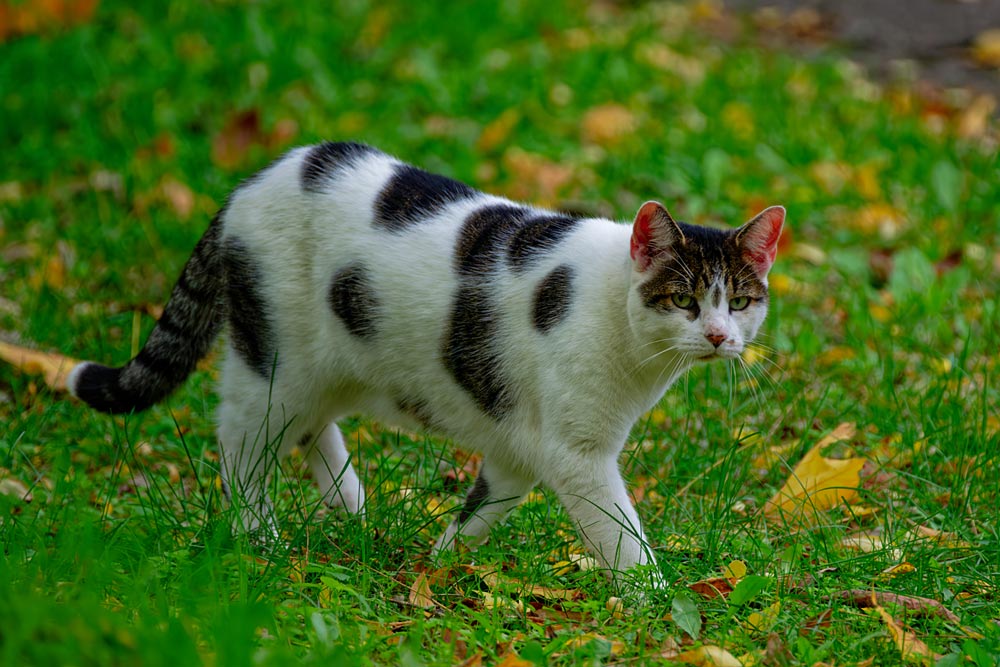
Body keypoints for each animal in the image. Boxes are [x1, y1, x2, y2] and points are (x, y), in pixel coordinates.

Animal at [72, 142, 788, 588]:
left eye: (741, 301)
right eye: (685, 300)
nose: (720, 337)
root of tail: (254, 181)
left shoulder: (521, 449)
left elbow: (482, 510)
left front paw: (437, 568)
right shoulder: (577, 454)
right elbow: (622, 537)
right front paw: (658, 603)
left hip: (335, 363)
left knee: (306, 428)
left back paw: (352, 509)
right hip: (273, 358)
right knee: (242, 442)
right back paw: (261, 538)